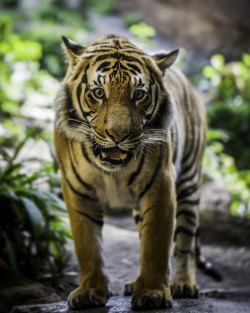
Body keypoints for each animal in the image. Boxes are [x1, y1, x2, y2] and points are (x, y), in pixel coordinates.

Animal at [54, 33, 207, 308]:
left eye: (138, 94)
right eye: (98, 92)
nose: (118, 135)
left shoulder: (161, 186)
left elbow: (156, 244)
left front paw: (153, 293)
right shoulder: (77, 189)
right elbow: (87, 243)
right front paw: (89, 291)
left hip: (189, 182)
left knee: (185, 240)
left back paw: (183, 284)